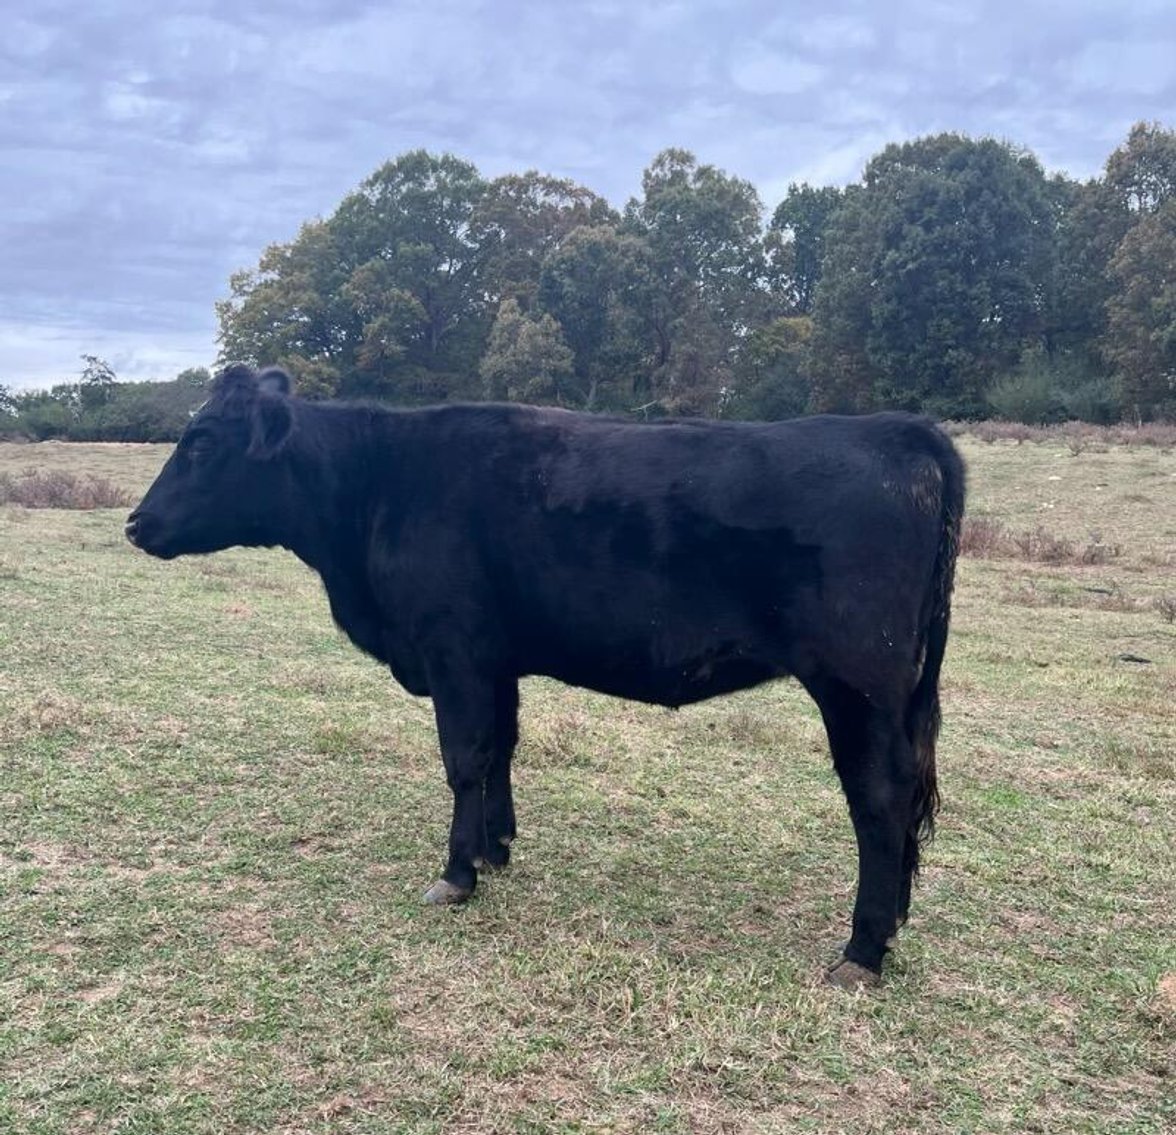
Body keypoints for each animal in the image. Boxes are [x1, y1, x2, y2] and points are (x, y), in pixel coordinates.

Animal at [125, 364, 965, 989]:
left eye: (201, 443)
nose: (135, 523)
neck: (377, 484)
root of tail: (898, 429)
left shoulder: (453, 650)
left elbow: (463, 758)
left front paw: (455, 873)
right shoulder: (496, 659)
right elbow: (500, 748)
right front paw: (495, 849)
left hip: (857, 685)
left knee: (879, 798)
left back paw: (862, 950)